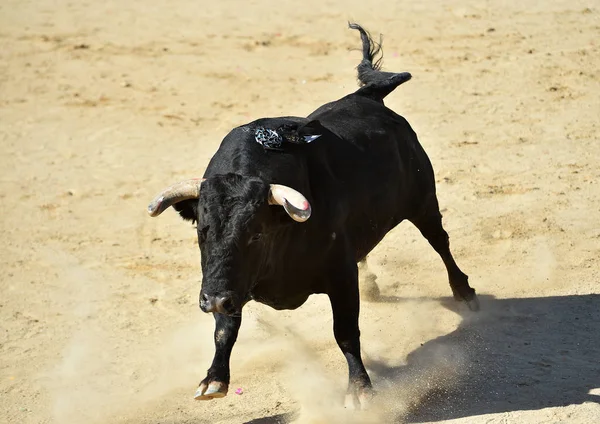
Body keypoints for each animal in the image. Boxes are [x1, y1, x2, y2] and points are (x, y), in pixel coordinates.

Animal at [146, 24, 478, 410]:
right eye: (202, 231)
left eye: (256, 234)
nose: (212, 300)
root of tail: (368, 95)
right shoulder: (230, 283)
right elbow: (224, 329)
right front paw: (214, 379)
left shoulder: (340, 275)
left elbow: (345, 331)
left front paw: (360, 390)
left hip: (422, 199)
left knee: (439, 241)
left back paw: (465, 292)